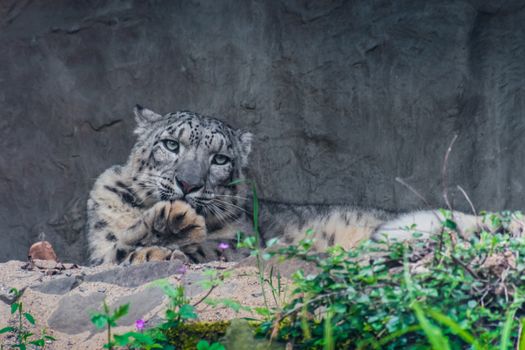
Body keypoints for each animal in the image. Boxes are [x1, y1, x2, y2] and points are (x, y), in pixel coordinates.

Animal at [87, 105, 484, 264]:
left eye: (220, 159)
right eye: (171, 145)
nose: (189, 183)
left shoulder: (238, 241)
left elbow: (207, 248)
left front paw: (173, 232)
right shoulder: (101, 242)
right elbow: (115, 248)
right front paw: (164, 233)